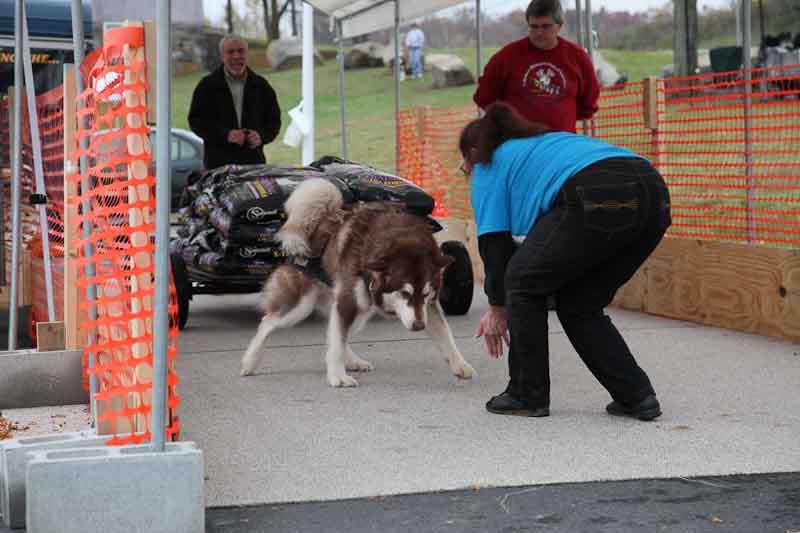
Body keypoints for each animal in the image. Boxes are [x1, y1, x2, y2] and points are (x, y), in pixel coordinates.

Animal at [238, 179, 476, 386]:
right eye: (404, 293)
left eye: (426, 294)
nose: (419, 327)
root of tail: (319, 221)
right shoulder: (346, 303)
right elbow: (336, 344)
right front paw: (337, 377)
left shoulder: (428, 307)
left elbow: (446, 334)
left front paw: (460, 364)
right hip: (303, 306)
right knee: (268, 322)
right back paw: (249, 362)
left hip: (358, 310)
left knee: (334, 334)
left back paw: (352, 361)